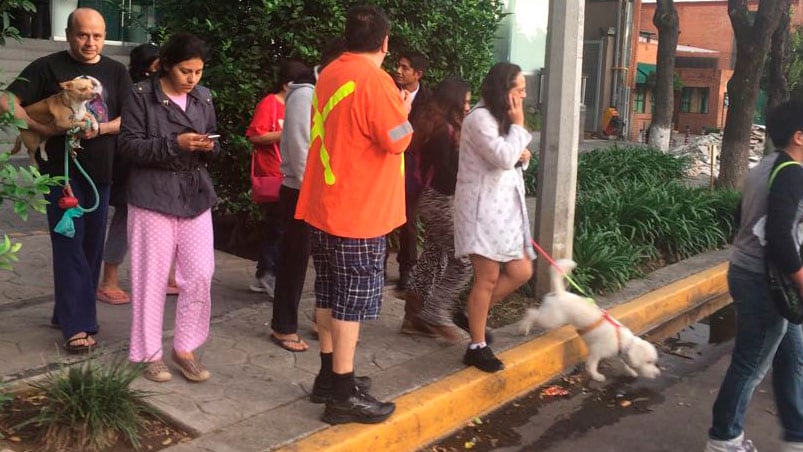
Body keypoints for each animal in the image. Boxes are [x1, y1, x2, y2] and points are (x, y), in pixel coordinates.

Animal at [520, 258, 660, 382]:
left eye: (654, 362)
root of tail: (560, 293)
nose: (657, 374)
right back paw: (525, 327)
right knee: (532, 313)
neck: (622, 341)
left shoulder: (615, 354)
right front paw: (596, 376)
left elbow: (623, 364)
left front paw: (630, 371)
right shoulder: (596, 351)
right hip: (552, 319)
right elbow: (592, 365)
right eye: (648, 362)